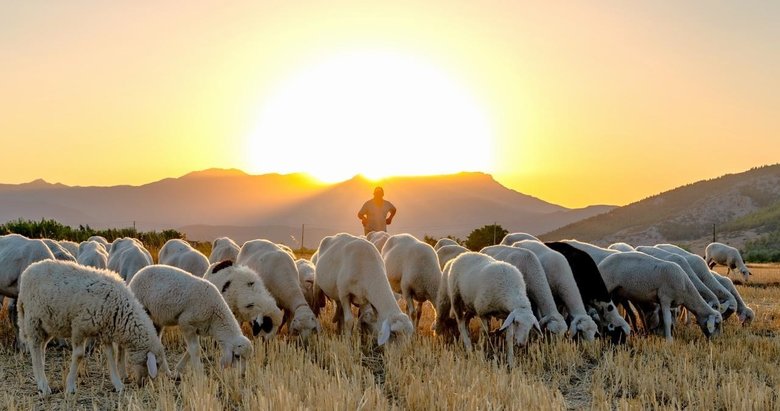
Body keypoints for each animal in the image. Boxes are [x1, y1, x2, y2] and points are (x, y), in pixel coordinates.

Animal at [17, 260, 168, 396]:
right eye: (157, 364)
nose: (142, 384)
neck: (119, 310)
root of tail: (27, 271)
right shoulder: (79, 327)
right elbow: (79, 355)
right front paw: (70, 386)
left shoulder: (105, 331)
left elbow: (111, 356)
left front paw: (118, 385)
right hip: (33, 320)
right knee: (35, 348)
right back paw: (43, 386)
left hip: (48, 323)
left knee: (41, 349)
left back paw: (40, 378)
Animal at [596, 251, 724, 342]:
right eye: (717, 324)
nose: (718, 341)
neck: (685, 288)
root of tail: (602, 263)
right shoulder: (665, 298)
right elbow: (667, 319)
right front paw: (669, 340)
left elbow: (668, 318)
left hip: (616, 293)